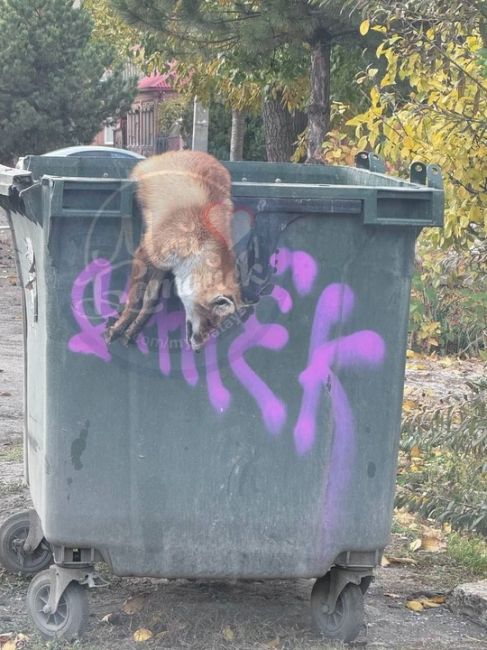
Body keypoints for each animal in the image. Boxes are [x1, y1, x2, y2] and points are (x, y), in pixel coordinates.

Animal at [105, 149, 246, 350]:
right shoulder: (146, 253)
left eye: (214, 326)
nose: (198, 350)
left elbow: (150, 302)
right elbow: (134, 300)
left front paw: (132, 331)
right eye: (208, 322)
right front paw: (117, 329)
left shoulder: (163, 266)